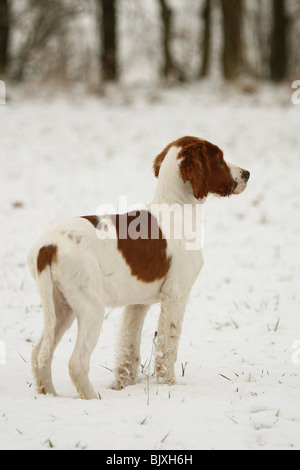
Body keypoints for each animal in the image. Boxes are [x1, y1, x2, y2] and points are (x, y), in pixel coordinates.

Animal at [28, 137, 250, 400]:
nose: (247, 173)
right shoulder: (176, 295)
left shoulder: (137, 303)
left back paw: (49, 396)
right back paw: (93, 399)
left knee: (40, 354)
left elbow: (128, 348)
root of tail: (48, 246)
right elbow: (168, 347)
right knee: (76, 362)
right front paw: (169, 385)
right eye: (220, 159)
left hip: (61, 307)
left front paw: (124, 385)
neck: (176, 208)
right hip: (90, 307)